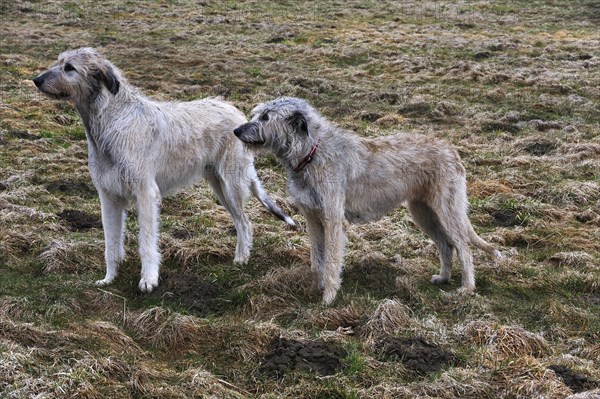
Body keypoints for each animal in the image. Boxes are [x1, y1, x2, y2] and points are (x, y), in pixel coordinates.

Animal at [33, 48, 296, 294]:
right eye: (58, 61)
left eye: (69, 68)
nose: (36, 79)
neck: (111, 122)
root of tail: (238, 113)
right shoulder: (108, 196)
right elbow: (111, 242)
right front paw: (109, 278)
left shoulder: (145, 193)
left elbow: (147, 241)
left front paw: (149, 279)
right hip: (218, 185)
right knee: (241, 221)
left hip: (232, 184)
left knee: (245, 222)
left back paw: (241, 259)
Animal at [234, 98, 502, 304]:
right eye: (257, 114)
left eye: (266, 117)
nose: (236, 131)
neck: (312, 153)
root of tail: (451, 149)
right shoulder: (313, 219)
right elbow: (316, 259)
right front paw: (316, 286)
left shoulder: (333, 219)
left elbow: (331, 260)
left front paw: (328, 296)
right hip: (423, 212)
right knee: (446, 245)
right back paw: (444, 277)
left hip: (447, 210)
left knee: (463, 246)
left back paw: (467, 287)